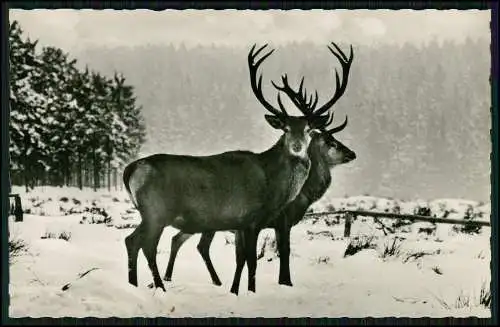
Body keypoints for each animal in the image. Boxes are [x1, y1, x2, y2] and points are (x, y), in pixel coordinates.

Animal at [121, 43, 334, 292]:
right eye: (286, 128)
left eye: (309, 129)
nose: (298, 146)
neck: (273, 187)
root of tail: (130, 170)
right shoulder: (251, 219)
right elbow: (252, 261)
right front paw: (251, 291)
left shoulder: (242, 224)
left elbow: (242, 259)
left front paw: (237, 290)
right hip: (157, 211)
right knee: (146, 245)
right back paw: (159, 287)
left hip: (150, 214)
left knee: (131, 240)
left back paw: (134, 284)